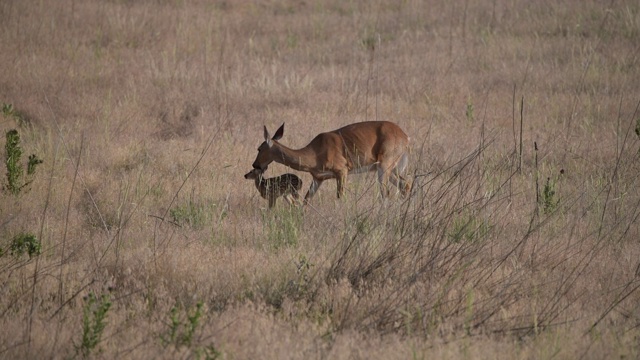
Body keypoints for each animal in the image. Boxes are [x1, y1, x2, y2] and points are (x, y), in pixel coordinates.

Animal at [250, 121, 410, 204]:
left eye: (259, 148)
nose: (255, 165)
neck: (314, 153)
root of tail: (405, 136)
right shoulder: (318, 178)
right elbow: (306, 199)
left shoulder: (342, 171)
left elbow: (340, 197)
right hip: (390, 168)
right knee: (405, 185)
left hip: (385, 166)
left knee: (386, 193)